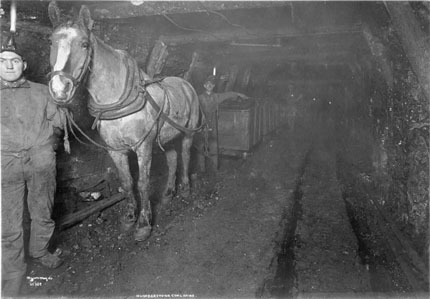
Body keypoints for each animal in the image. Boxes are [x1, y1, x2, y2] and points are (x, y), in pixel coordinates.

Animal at [47, 3, 202, 241]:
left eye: (84, 44)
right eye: (51, 42)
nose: (59, 89)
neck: (116, 99)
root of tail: (185, 83)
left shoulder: (143, 147)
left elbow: (143, 183)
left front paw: (144, 224)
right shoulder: (115, 150)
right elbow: (127, 182)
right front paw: (130, 217)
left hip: (188, 133)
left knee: (185, 155)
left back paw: (185, 188)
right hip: (164, 139)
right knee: (173, 158)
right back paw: (168, 192)